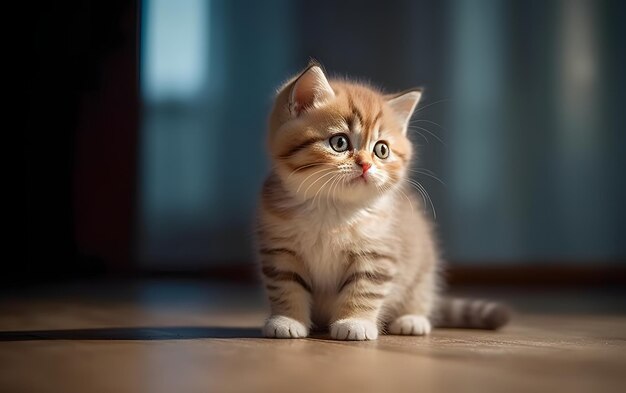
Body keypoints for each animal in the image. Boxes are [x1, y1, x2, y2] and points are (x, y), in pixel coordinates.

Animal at [254, 62, 508, 338]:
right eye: (339, 142)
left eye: (381, 150)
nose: (366, 164)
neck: (333, 208)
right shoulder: (279, 249)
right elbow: (285, 286)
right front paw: (287, 320)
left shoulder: (378, 252)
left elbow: (364, 289)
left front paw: (355, 322)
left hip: (423, 271)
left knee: (421, 295)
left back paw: (412, 319)